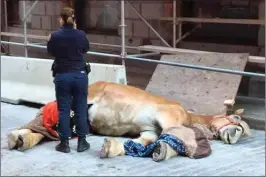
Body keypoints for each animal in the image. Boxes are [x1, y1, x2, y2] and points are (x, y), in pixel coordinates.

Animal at [6, 81, 251, 162]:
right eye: (238, 120)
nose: (237, 135)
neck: (190, 115)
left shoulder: (150, 130)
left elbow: (143, 142)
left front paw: (111, 148)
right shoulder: (168, 116)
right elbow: (173, 134)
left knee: (46, 131)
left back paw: (21, 140)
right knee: (38, 122)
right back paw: (17, 136)